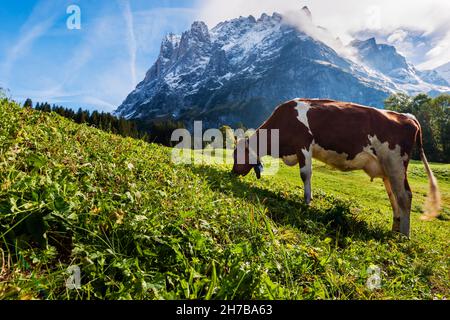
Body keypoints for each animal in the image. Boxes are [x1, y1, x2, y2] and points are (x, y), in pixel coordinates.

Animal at [234, 99, 442, 236]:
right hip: (388, 169)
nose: (232, 172)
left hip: (396, 163)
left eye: (236, 154)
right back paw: (395, 229)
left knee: (405, 196)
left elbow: (305, 174)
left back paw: (404, 236)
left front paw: (307, 201)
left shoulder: (303, 145)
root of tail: (407, 116)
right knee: (394, 196)